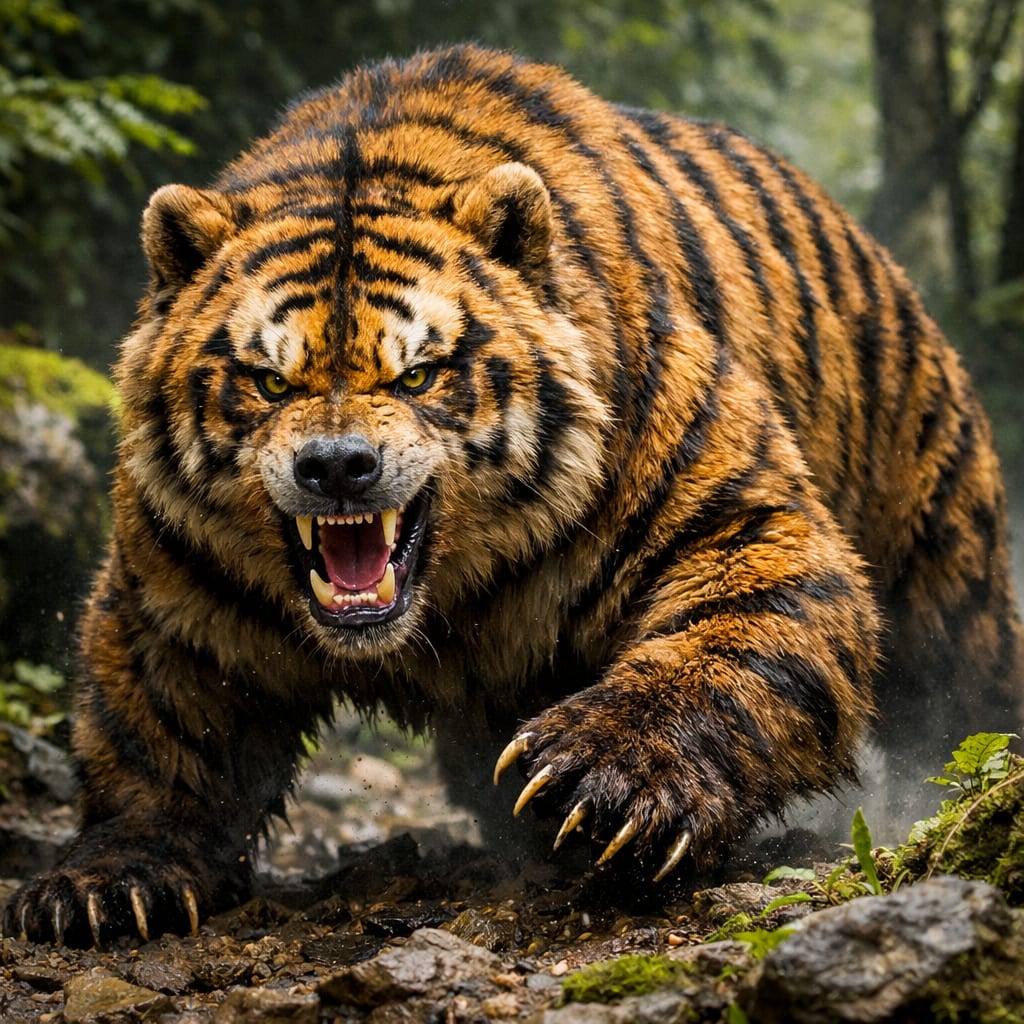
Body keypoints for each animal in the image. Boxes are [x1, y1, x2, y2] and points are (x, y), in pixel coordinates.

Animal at [5, 44, 1022, 947]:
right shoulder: (171, 590)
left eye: (418, 375)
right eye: (270, 380)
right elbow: (154, 725)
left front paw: (601, 780)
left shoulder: (739, 518)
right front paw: (107, 882)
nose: (336, 466)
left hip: (942, 555)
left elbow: (731, 647)